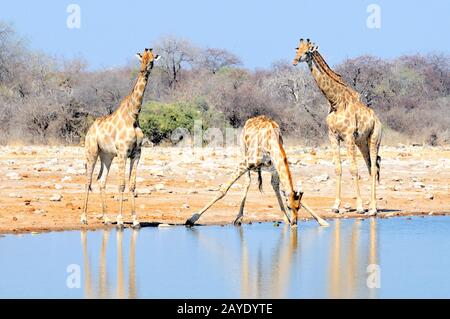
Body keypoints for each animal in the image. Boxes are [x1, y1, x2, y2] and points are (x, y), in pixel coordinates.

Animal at [81, 47, 161, 229]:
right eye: (141, 58)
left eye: (152, 60)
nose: (143, 70)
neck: (134, 116)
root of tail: (89, 129)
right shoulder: (123, 153)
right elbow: (121, 185)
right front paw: (119, 220)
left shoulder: (136, 154)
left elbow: (132, 185)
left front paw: (135, 220)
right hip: (92, 151)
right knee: (88, 180)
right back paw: (84, 217)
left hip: (107, 156)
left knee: (101, 180)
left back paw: (105, 218)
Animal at [185, 116, 328, 229]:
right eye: (289, 206)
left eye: (298, 208)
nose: (294, 223)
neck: (271, 141)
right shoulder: (245, 163)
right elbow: (223, 189)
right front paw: (191, 219)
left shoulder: (274, 169)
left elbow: (279, 188)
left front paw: (322, 221)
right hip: (243, 152)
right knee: (247, 182)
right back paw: (238, 218)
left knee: (270, 186)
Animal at [292, 38, 384, 216]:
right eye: (297, 48)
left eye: (307, 52)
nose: (294, 61)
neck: (336, 102)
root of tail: (378, 120)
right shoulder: (333, 137)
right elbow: (338, 169)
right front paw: (335, 206)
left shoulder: (348, 137)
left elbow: (354, 170)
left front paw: (360, 207)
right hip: (361, 142)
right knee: (371, 167)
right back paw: (371, 206)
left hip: (374, 139)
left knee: (374, 168)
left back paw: (373, 209)